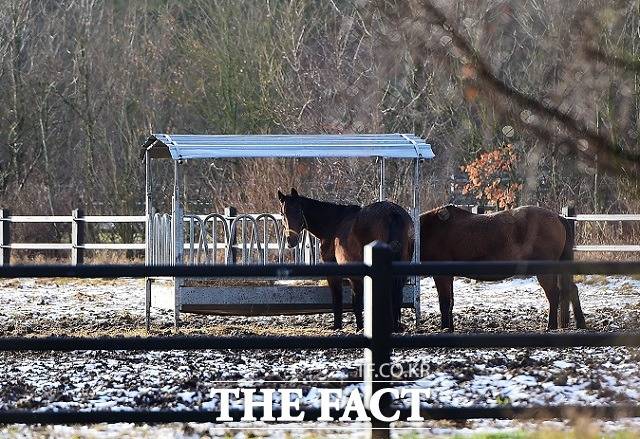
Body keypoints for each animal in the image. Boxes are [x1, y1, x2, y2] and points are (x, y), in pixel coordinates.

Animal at [278, 188, 412, 330]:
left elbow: (343, 300)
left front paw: (342, 326)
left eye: (299, 211)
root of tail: (392, 213)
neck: (334, 224)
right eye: (282, 213)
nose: (291, 241)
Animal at [420, 205, 584, 332]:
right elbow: (451, 302)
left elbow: (444, 302)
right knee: (571, 289)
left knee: (553, 294)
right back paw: (580, 322)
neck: (430, 230)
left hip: (545, 272)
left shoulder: (442, 275)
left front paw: (445, 328)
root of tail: (558, 217)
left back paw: (551, 325)